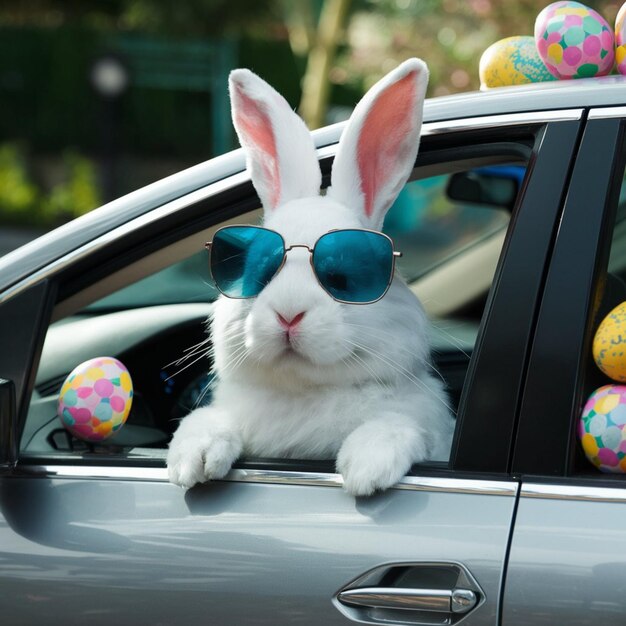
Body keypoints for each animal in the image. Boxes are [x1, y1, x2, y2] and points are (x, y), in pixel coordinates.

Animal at [167, 58, 454, 492]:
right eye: (260, 270)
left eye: (343, 277)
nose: (288, 315)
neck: (304, 392)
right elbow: (205, 421)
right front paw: (193, 462)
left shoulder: (428, 426)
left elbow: (397, 425)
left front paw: (366, 468)